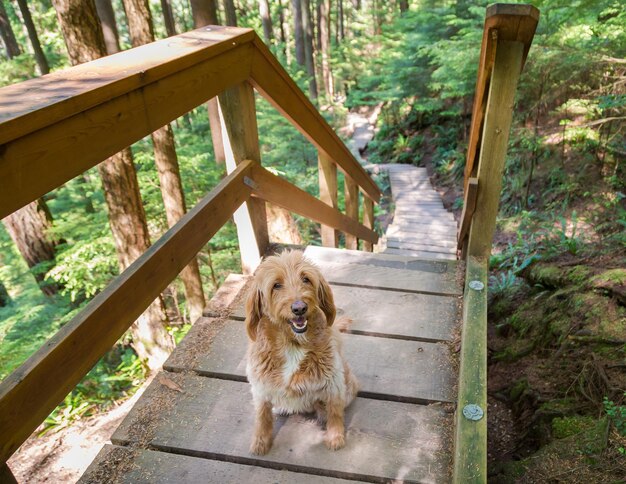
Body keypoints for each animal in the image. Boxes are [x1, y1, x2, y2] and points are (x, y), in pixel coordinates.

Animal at [245, 250, 358, 454]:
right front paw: (260, 442)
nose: (299, 308)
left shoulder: (334, 382)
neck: (292, 344)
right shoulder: (260, 386)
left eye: (306, 279)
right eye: (276, 285)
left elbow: (335, 411)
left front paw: (335, 437)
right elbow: (262, 415)